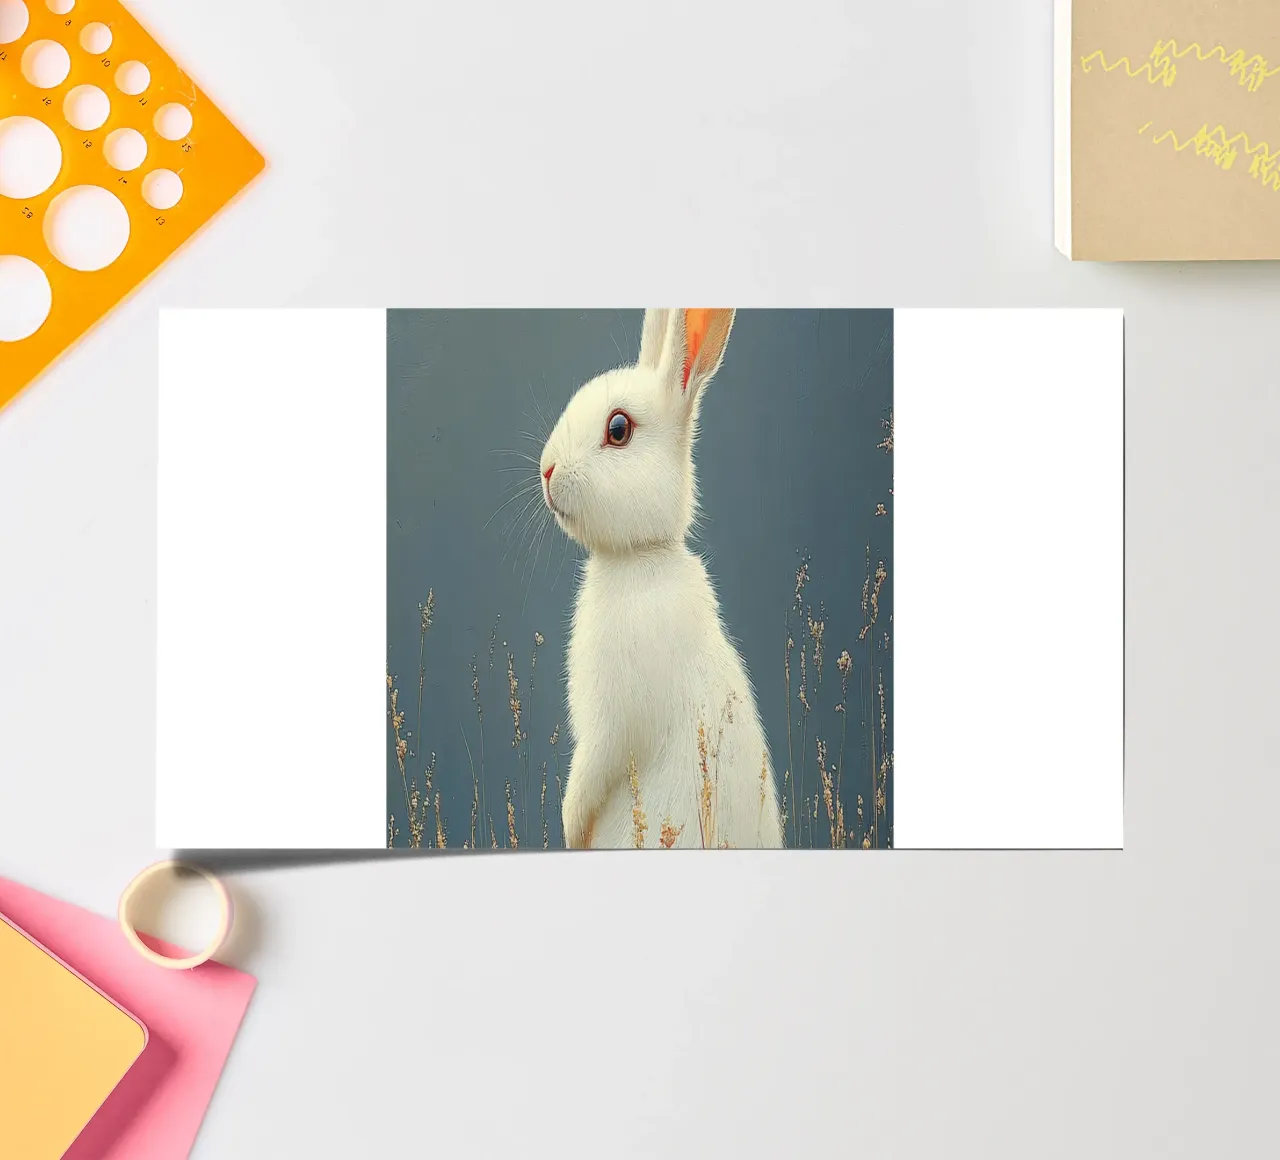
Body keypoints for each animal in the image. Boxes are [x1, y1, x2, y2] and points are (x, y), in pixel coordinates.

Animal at [539, 308, 783, 849]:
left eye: (618, 429)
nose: (546, 471)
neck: (638, 557)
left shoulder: (614, 721)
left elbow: (593, 771)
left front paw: (569, 825)